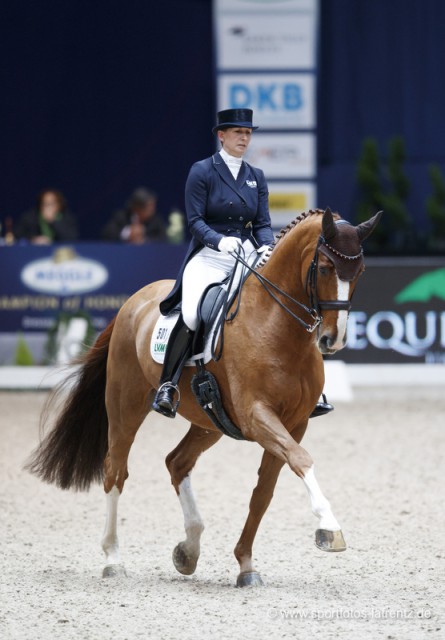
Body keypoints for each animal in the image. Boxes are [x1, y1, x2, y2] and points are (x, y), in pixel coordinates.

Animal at [27, 208, 380, 588]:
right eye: (326, 267)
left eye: (360, 271)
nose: (333, 339)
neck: (277, 325)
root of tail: (132, 302)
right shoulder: (256, 416)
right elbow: (302, 460)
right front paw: (329, 527)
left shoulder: (294, 423)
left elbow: (263, 493)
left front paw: (246, 566)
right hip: (126, 406)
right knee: (114, 471)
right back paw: (113, 559)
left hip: (209, 421)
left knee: (177, 462)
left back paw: (188, 550)